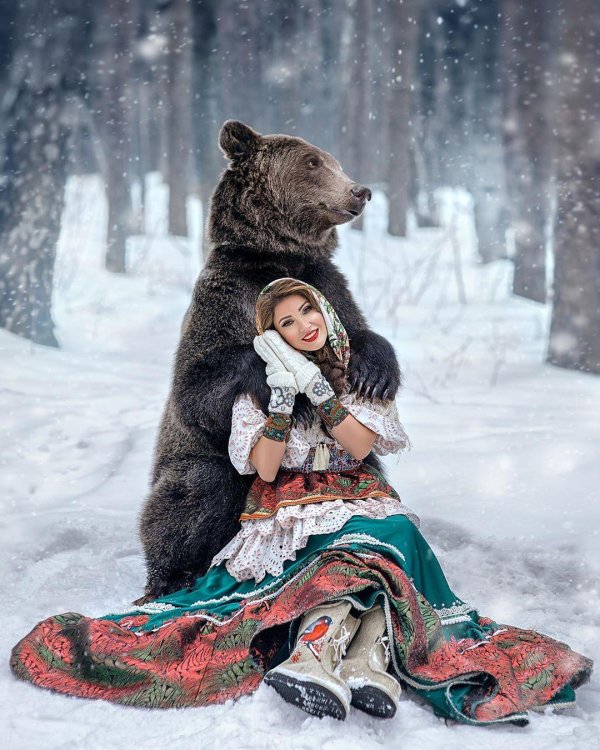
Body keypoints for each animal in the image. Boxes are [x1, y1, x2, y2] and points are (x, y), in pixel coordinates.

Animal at [135, 120, 402, 603]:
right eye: (313, 162)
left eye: (332, 160)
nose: (360, 190)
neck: (277, 258)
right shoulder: (223, 300)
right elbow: (196, 386)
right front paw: (295, 396)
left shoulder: (328, 286)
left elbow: (360, 334)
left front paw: (375, 374)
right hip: (191, 462)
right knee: (194, 492)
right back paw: (171, 576)